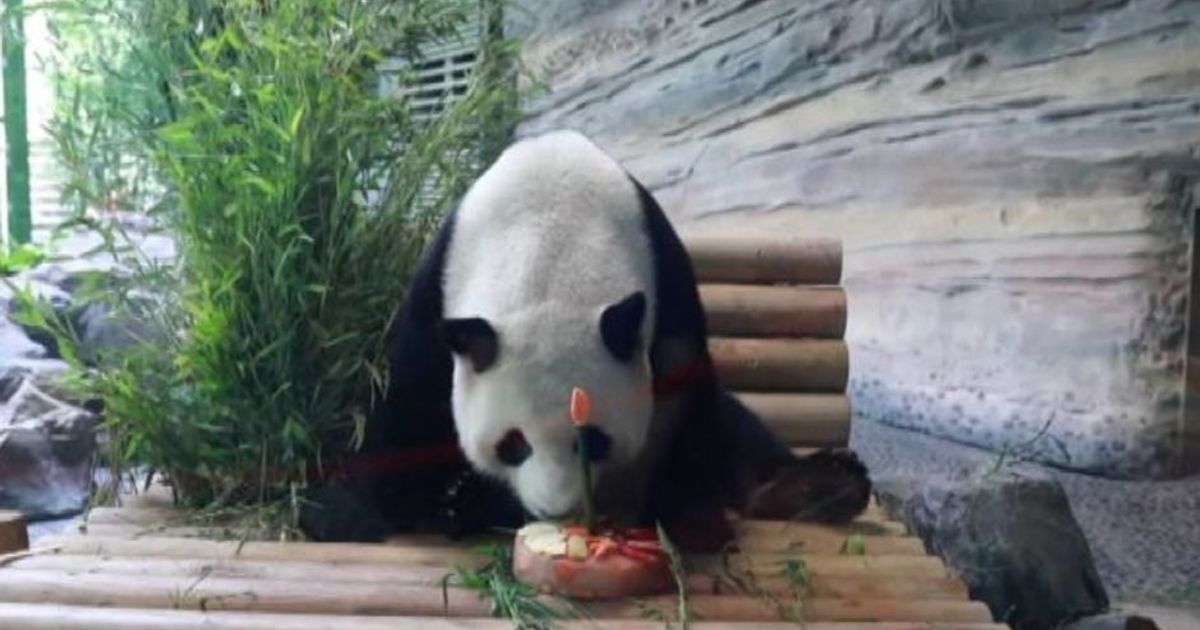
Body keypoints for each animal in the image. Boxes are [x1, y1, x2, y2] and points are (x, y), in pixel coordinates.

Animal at [300, 130, 871, 551]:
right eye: (513, 443)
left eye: (591, 439)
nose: (554, 509)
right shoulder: (440, 285)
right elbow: (411, 398)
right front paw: (347, 512)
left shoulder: (666, 278)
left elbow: (681, 389)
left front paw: (688, 518)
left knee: (742, 438)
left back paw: (822, 485)